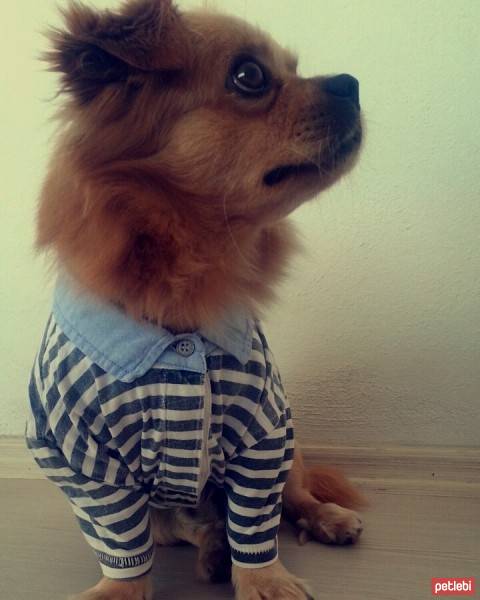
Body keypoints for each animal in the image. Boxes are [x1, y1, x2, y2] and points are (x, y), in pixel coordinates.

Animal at [26, 1, 364, 600]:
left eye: (294, 67)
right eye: (250, 75)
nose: (351, 82)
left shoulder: (264, 436)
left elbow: (256, 522)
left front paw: (265, 580)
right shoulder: (79, 461)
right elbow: (121, 545)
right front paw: (119, 590)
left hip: (293, 449)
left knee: (291, 500)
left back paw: (325, 520)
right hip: (166, 515)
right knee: (194, 525)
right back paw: (213, 555)